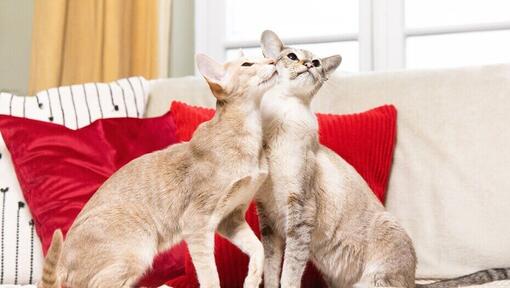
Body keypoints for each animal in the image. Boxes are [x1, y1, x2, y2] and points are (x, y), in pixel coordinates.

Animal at [256, 29, 510, 288]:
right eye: (292, 56)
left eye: (316, 63)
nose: (308, 65)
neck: (280, 120)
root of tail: (414, 280)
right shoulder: (269, 221)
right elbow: (272, 269)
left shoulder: (300, 213)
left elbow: (290, 272)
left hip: (381, 245)